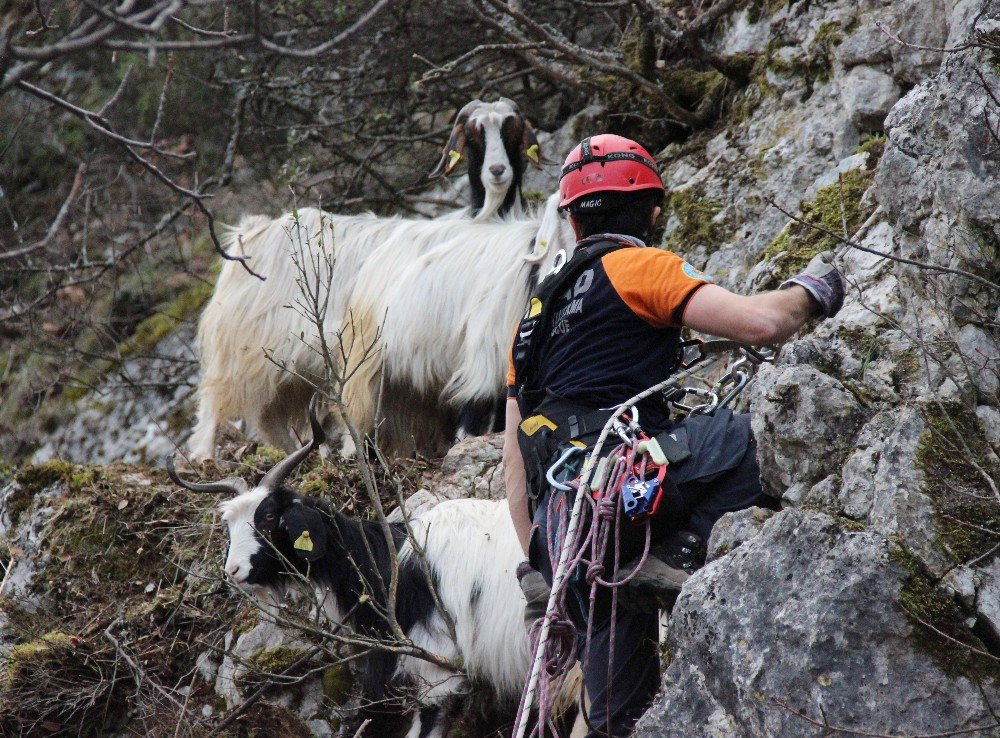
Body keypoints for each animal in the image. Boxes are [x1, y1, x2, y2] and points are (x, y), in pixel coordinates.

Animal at [189, 99, 548, 460]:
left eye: (513, 132)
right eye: (473, 137)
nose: (498, 172)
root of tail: (251, 230)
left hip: (289, 370)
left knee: (272, 420)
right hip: (244, 351)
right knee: (214, 404)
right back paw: (204, 456)